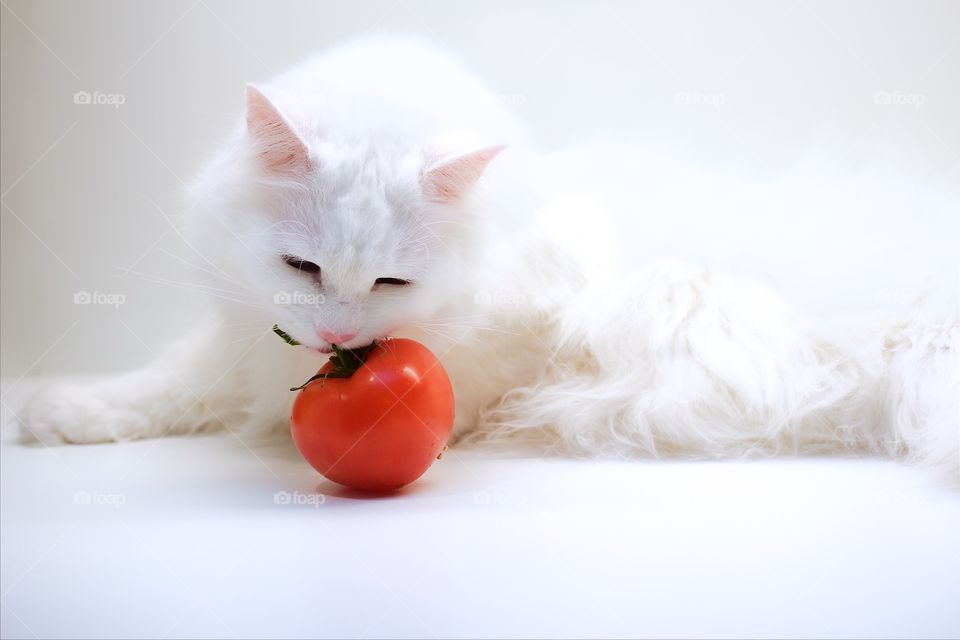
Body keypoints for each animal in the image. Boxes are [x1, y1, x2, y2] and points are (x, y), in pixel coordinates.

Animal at [18, 36, 956, 476]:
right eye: (303, 270)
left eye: (390, 281)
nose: (336, 340)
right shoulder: (245, 334)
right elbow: (167, 385)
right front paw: (60, 415)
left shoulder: (515, 348)